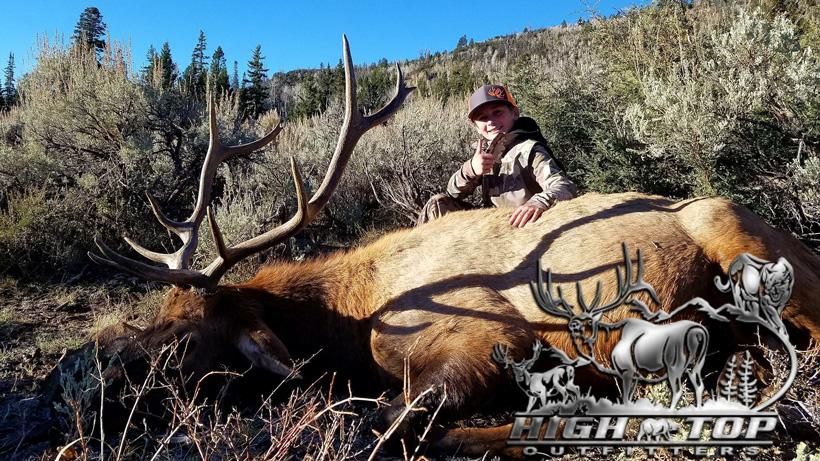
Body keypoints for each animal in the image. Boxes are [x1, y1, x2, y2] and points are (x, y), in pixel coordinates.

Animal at [58, 36, 820, 458]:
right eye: (155, 316)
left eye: (187, 337)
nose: (95, 379)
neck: (349, 319)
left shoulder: (490, 342)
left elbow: (389, 421)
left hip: (743, 238)